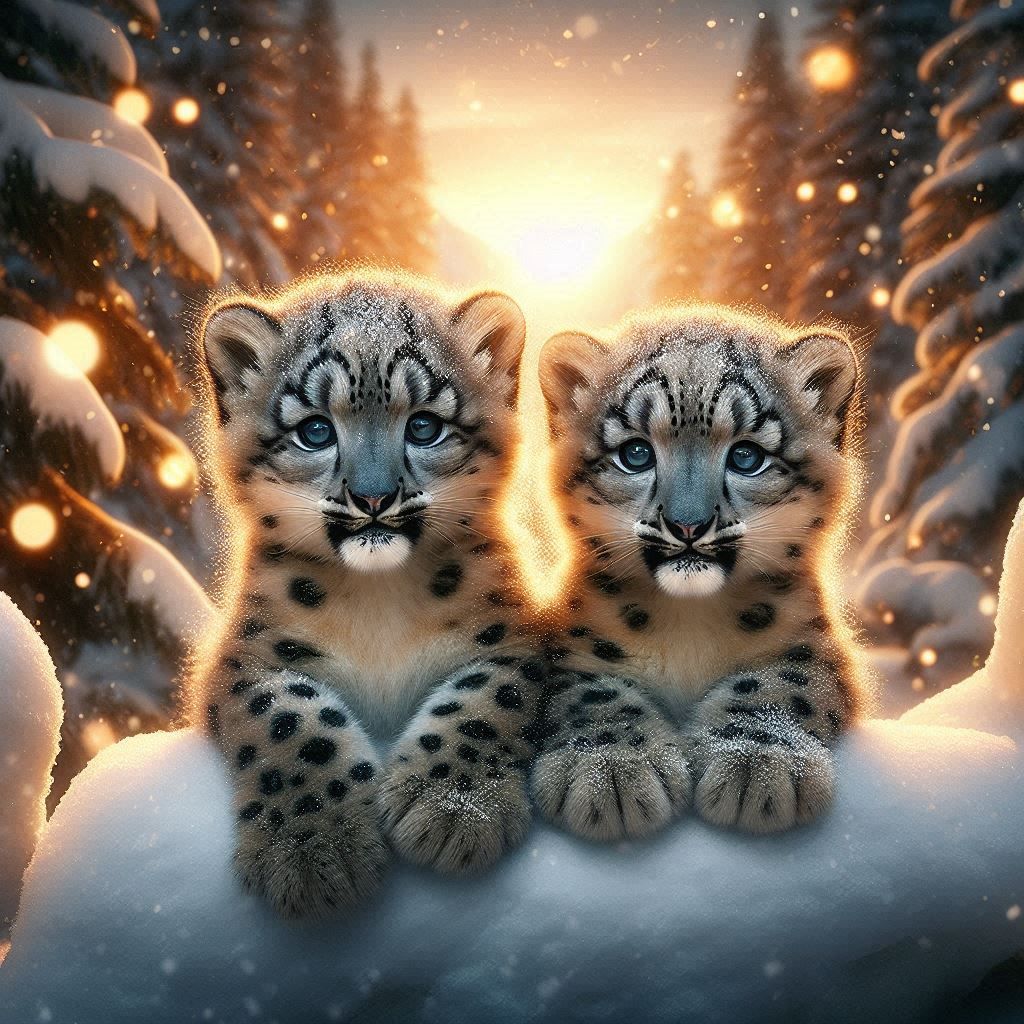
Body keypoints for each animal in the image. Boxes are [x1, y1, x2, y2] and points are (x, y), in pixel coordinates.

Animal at [190, 270, 544, 918]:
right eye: (315, 431)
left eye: (425, 425)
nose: (373, 497)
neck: (379, 600)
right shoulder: (249, 657)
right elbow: (291, 720)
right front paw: (315, 848)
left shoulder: (517, 637)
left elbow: (486, 697)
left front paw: (450, 808)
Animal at [531, 303, 868, 843]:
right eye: (636, 454)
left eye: (747, 456)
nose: (687, 524)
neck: (689, 621)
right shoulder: (575, 646)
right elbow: (594, 691)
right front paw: (611, 768)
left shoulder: (814, 646)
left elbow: (777, 684)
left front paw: (754, 762)